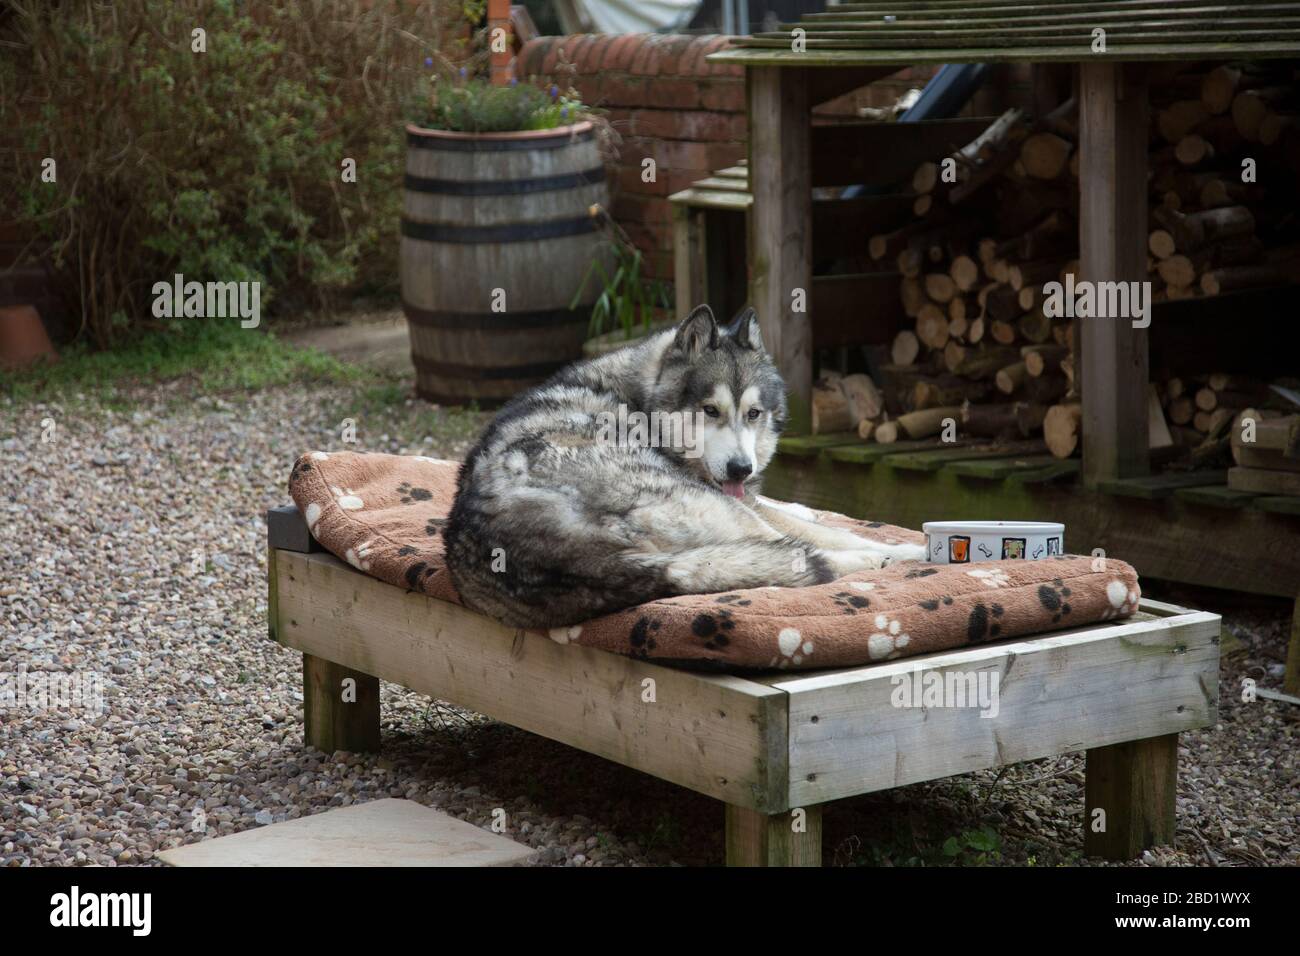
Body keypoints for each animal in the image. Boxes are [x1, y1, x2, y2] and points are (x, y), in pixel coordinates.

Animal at [443, 304, 926, 628]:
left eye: (753, 414)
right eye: (710, 411)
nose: (740, 469)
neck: (638, 401)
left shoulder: (747, 495)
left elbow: (793, 510)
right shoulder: (738, 503)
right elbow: (820, 530)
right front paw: (900, 547)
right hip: (722, 515)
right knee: (812, 553)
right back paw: (893, 557)